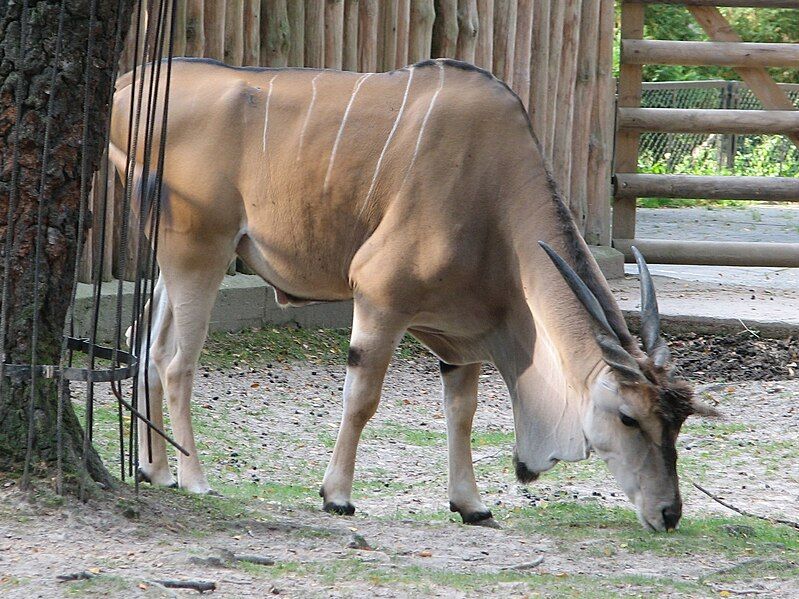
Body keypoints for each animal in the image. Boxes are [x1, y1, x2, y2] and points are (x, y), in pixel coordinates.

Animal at [109, 57, 716, 536]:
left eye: (678, 424)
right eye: (628, 418)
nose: (669, 514)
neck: (497, 188)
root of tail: (126, 86)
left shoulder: (463, 329)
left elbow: (462, 412)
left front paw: (471, 504)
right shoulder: (379, 295)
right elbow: (362, 398)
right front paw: (337, 496)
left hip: (170, 262)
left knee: (144, 347)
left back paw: (156, 471)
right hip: (199, 253)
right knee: (176, 361)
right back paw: (194, 479)